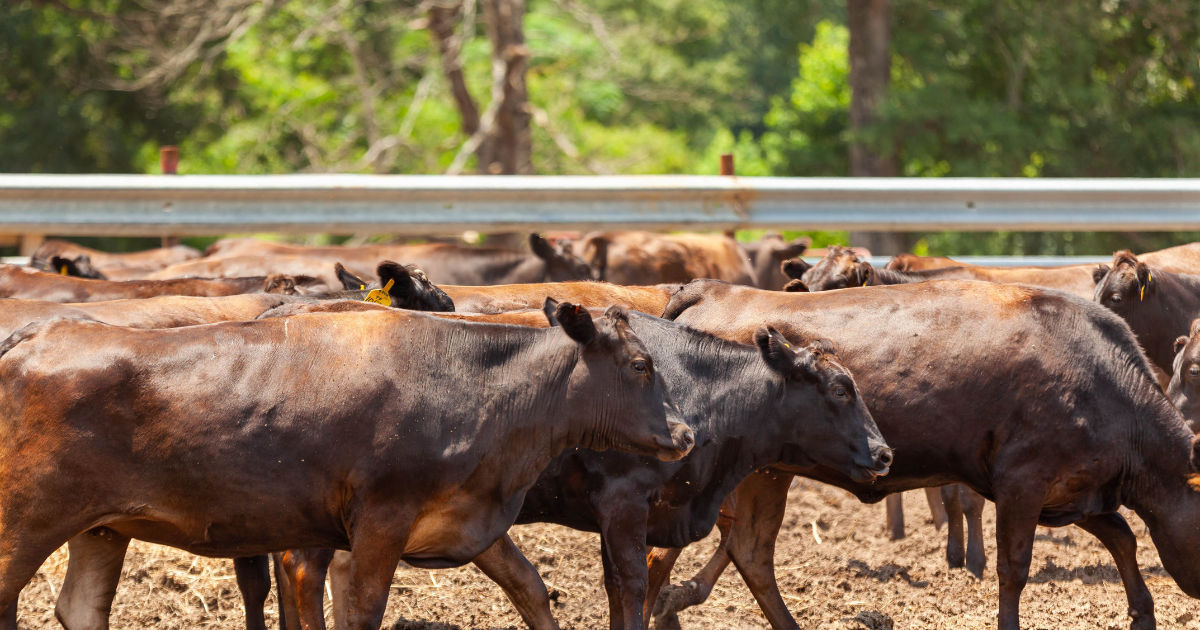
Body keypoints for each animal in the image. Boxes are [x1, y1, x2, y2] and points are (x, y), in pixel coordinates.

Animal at [652, 278, 1200, 628]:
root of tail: (715, 290)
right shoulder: (1022, 483)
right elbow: (1013, 568)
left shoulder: (1074, 492)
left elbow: (1123, 538)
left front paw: (1143, 614)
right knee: (675, 551)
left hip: (767, 474)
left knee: (748, 550)